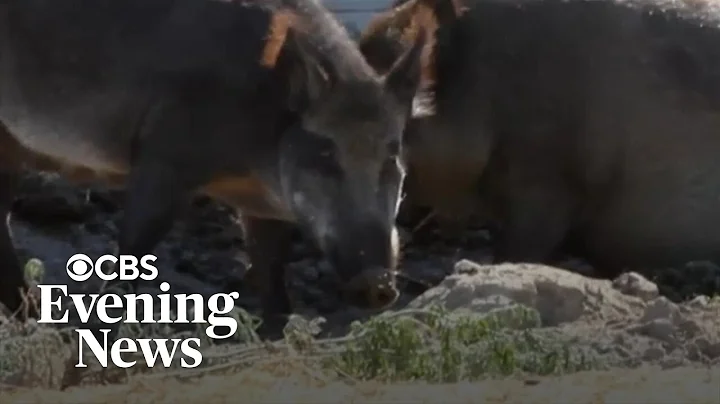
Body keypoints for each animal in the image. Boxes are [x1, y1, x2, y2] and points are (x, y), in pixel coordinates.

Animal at [0, 0, 426, 333]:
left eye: (392, 157)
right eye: (325, 154)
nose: (377, 282)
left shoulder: (261, 205)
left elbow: (272, 278)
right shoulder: (162, 158)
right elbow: (129, 259)